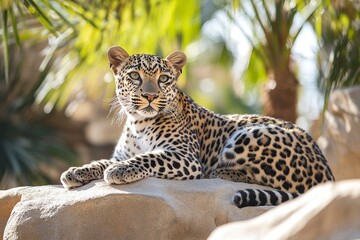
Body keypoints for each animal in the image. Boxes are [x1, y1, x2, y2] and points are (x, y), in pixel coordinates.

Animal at [59, 46, 334, 207]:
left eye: (164, 79)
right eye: (135, 76)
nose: (150, 96)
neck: (139, 123)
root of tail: (328, 174)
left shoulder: (185, 157)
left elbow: (149, 157)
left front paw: (121, 170)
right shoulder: (121, 153)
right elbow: (100, 162)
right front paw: (75, 172)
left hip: (249, 135)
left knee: (273, 182)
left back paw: (221, 173)